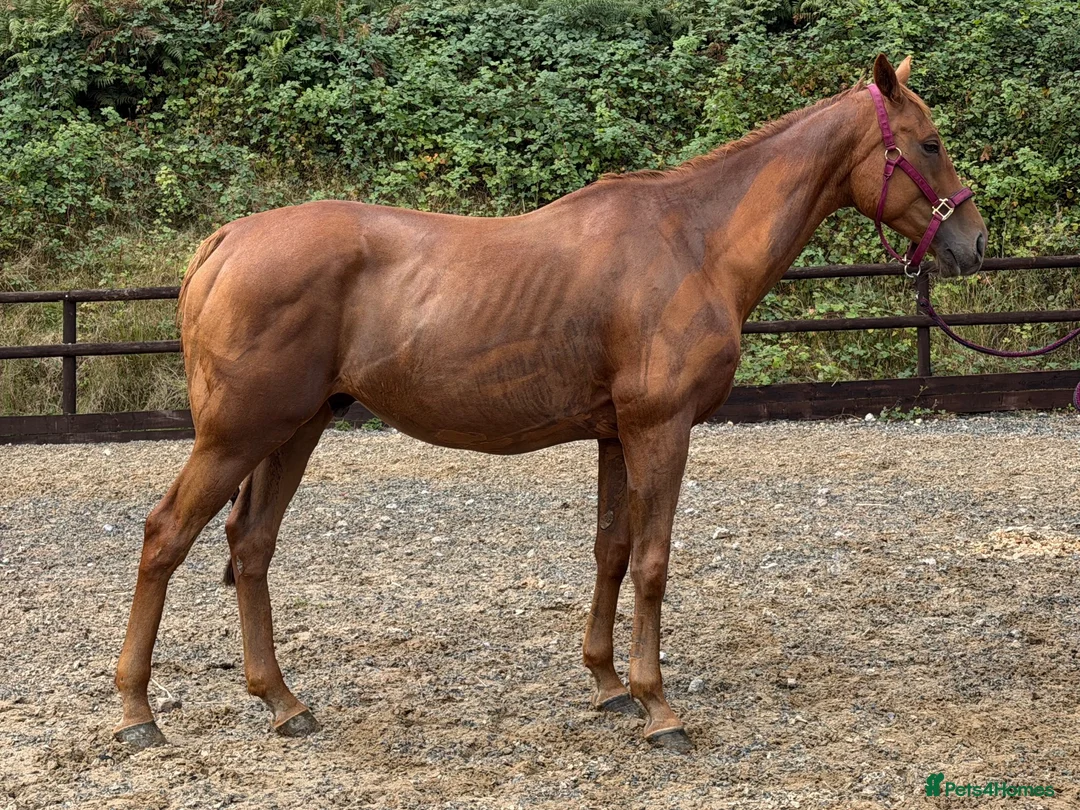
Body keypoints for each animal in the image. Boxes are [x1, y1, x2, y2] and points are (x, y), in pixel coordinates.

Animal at [113, 54, 987, 753]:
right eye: (931, 143)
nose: (974, 242)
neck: (693, 242)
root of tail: (226, 241)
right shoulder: (660, 429)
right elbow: (654, 563)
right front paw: (658, 708)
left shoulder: (615, 435)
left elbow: (611, 552)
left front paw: (606, 685)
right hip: (238, 434)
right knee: (165, 536)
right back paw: (136, 712)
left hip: (292, 431)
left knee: (251, 545)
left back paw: (284, 703)